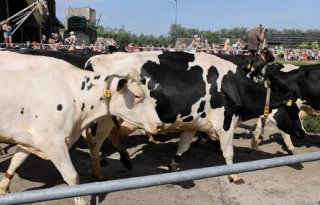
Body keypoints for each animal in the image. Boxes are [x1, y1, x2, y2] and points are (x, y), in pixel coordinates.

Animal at [0, 50, 161, 204]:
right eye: (137, 96)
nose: (159, 125)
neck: (74, 94)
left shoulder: (29, 138)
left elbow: (16, 162)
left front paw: (4, 188)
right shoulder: (53, 142)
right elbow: (73, 177)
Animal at [84, 51, 304, 184]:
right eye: (293, 112)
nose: (302, 132)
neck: (234, 88)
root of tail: (93, 59)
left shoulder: (193, 123)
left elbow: (183, 146)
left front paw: (173, 165)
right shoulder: (225, 124)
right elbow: (229, 153)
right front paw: (234, 175)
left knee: (108, 137)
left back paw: (125, 160)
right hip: (105, 119)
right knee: (95, 142)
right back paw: (98, 172)